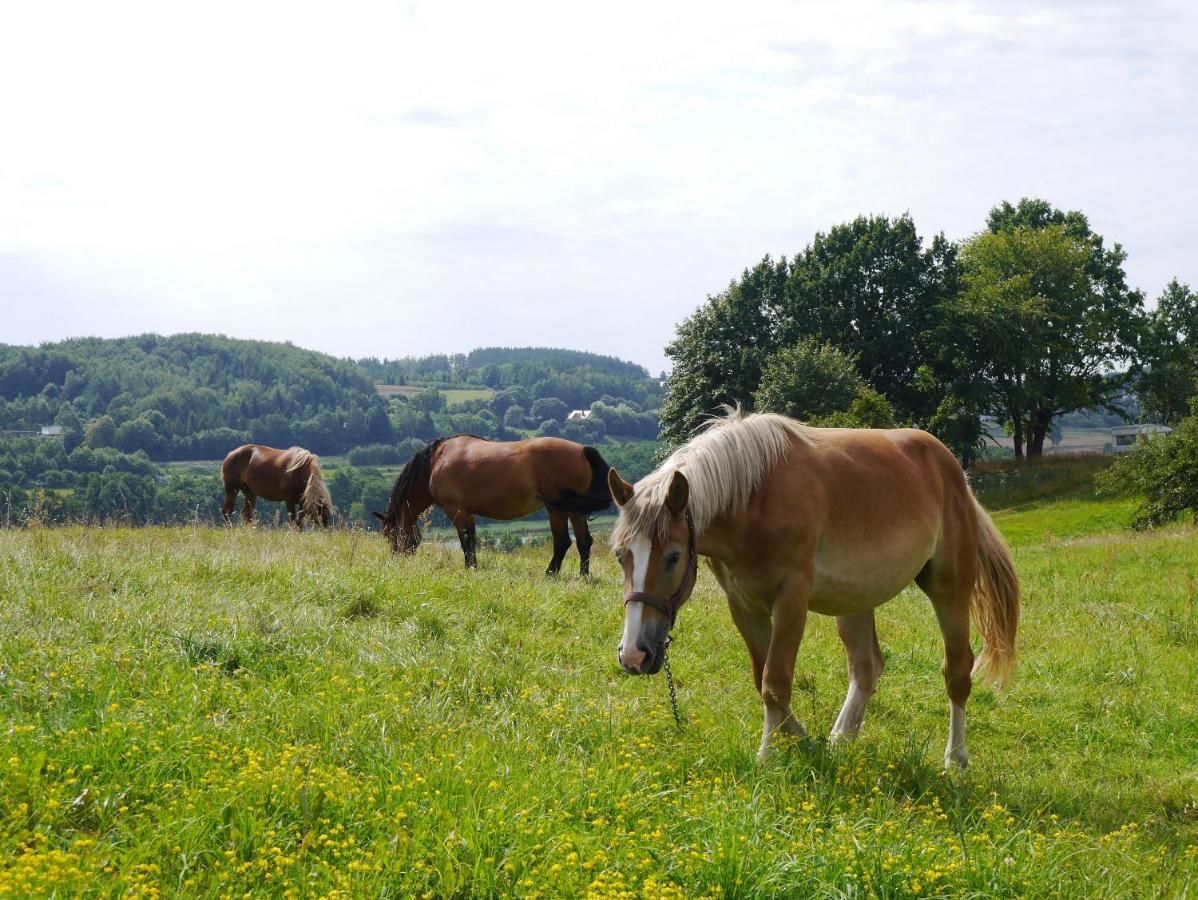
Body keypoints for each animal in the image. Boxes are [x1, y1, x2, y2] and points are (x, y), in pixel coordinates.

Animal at [373, 438, 613, 577]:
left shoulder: (455, 510)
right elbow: (471, 539)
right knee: (584, 542)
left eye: (389, 534)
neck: (437, 460)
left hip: (556, 509)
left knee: (563, 542)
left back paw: (550, 573)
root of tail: (582, 450)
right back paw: (583, 576)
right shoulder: (468, 513)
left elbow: (464, 540)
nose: (397, 559)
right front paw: (474, 566)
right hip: (575, 511)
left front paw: (469, 567)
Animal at [608, 412, 1020, 771]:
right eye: (620, 555)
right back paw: (841, 738)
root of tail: (954, 472)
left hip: (949, 590)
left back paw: (956, 758)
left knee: (957, 671)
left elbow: (775, 682)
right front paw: (801, 738)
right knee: (867, 667)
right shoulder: (743, 606)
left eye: (673, 556)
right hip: (855, 601)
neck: (754, 498)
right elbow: (762, 679)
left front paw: (767, 755)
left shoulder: (791, 600)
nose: (634, 655)